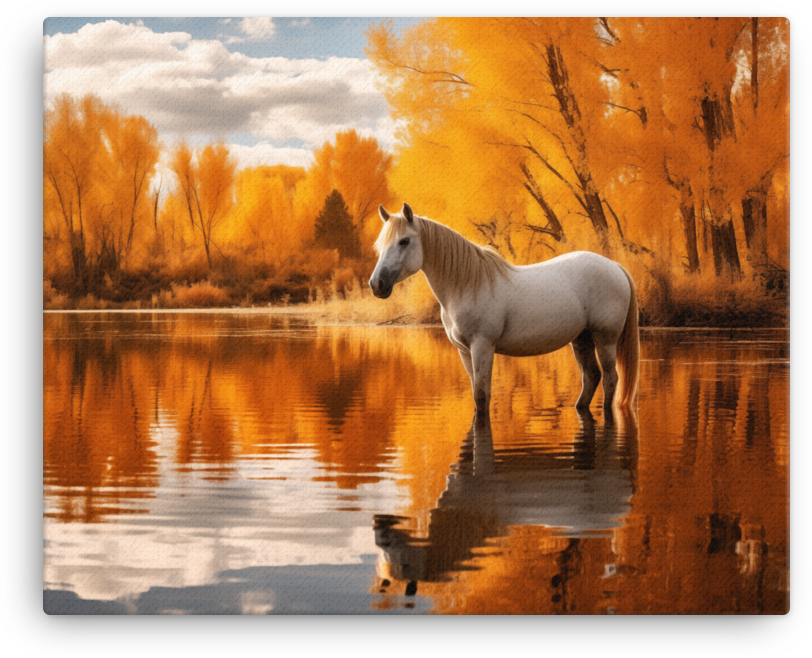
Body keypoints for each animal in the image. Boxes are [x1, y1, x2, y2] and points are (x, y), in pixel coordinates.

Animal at [369, 203, 640, 417]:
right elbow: (476, 393)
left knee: (610, 379)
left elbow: (482, 396)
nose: (376, 284)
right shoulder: (464, 351)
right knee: (591, 376)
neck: (467, 285)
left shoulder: (482, 347)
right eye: (380, 244)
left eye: (404, 241)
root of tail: (615, 266)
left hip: (605, 338)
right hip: (581, 339)